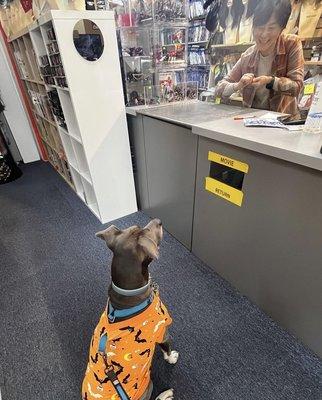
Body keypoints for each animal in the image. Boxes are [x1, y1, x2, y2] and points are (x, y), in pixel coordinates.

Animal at [82, 219, 179, 400]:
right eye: (146, 230)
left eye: (138, 227)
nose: (159, 221)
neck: (128, 292)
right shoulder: (163, 331)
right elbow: (167, 350)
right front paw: (172, 358)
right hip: (148, 384)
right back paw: (166, 394)